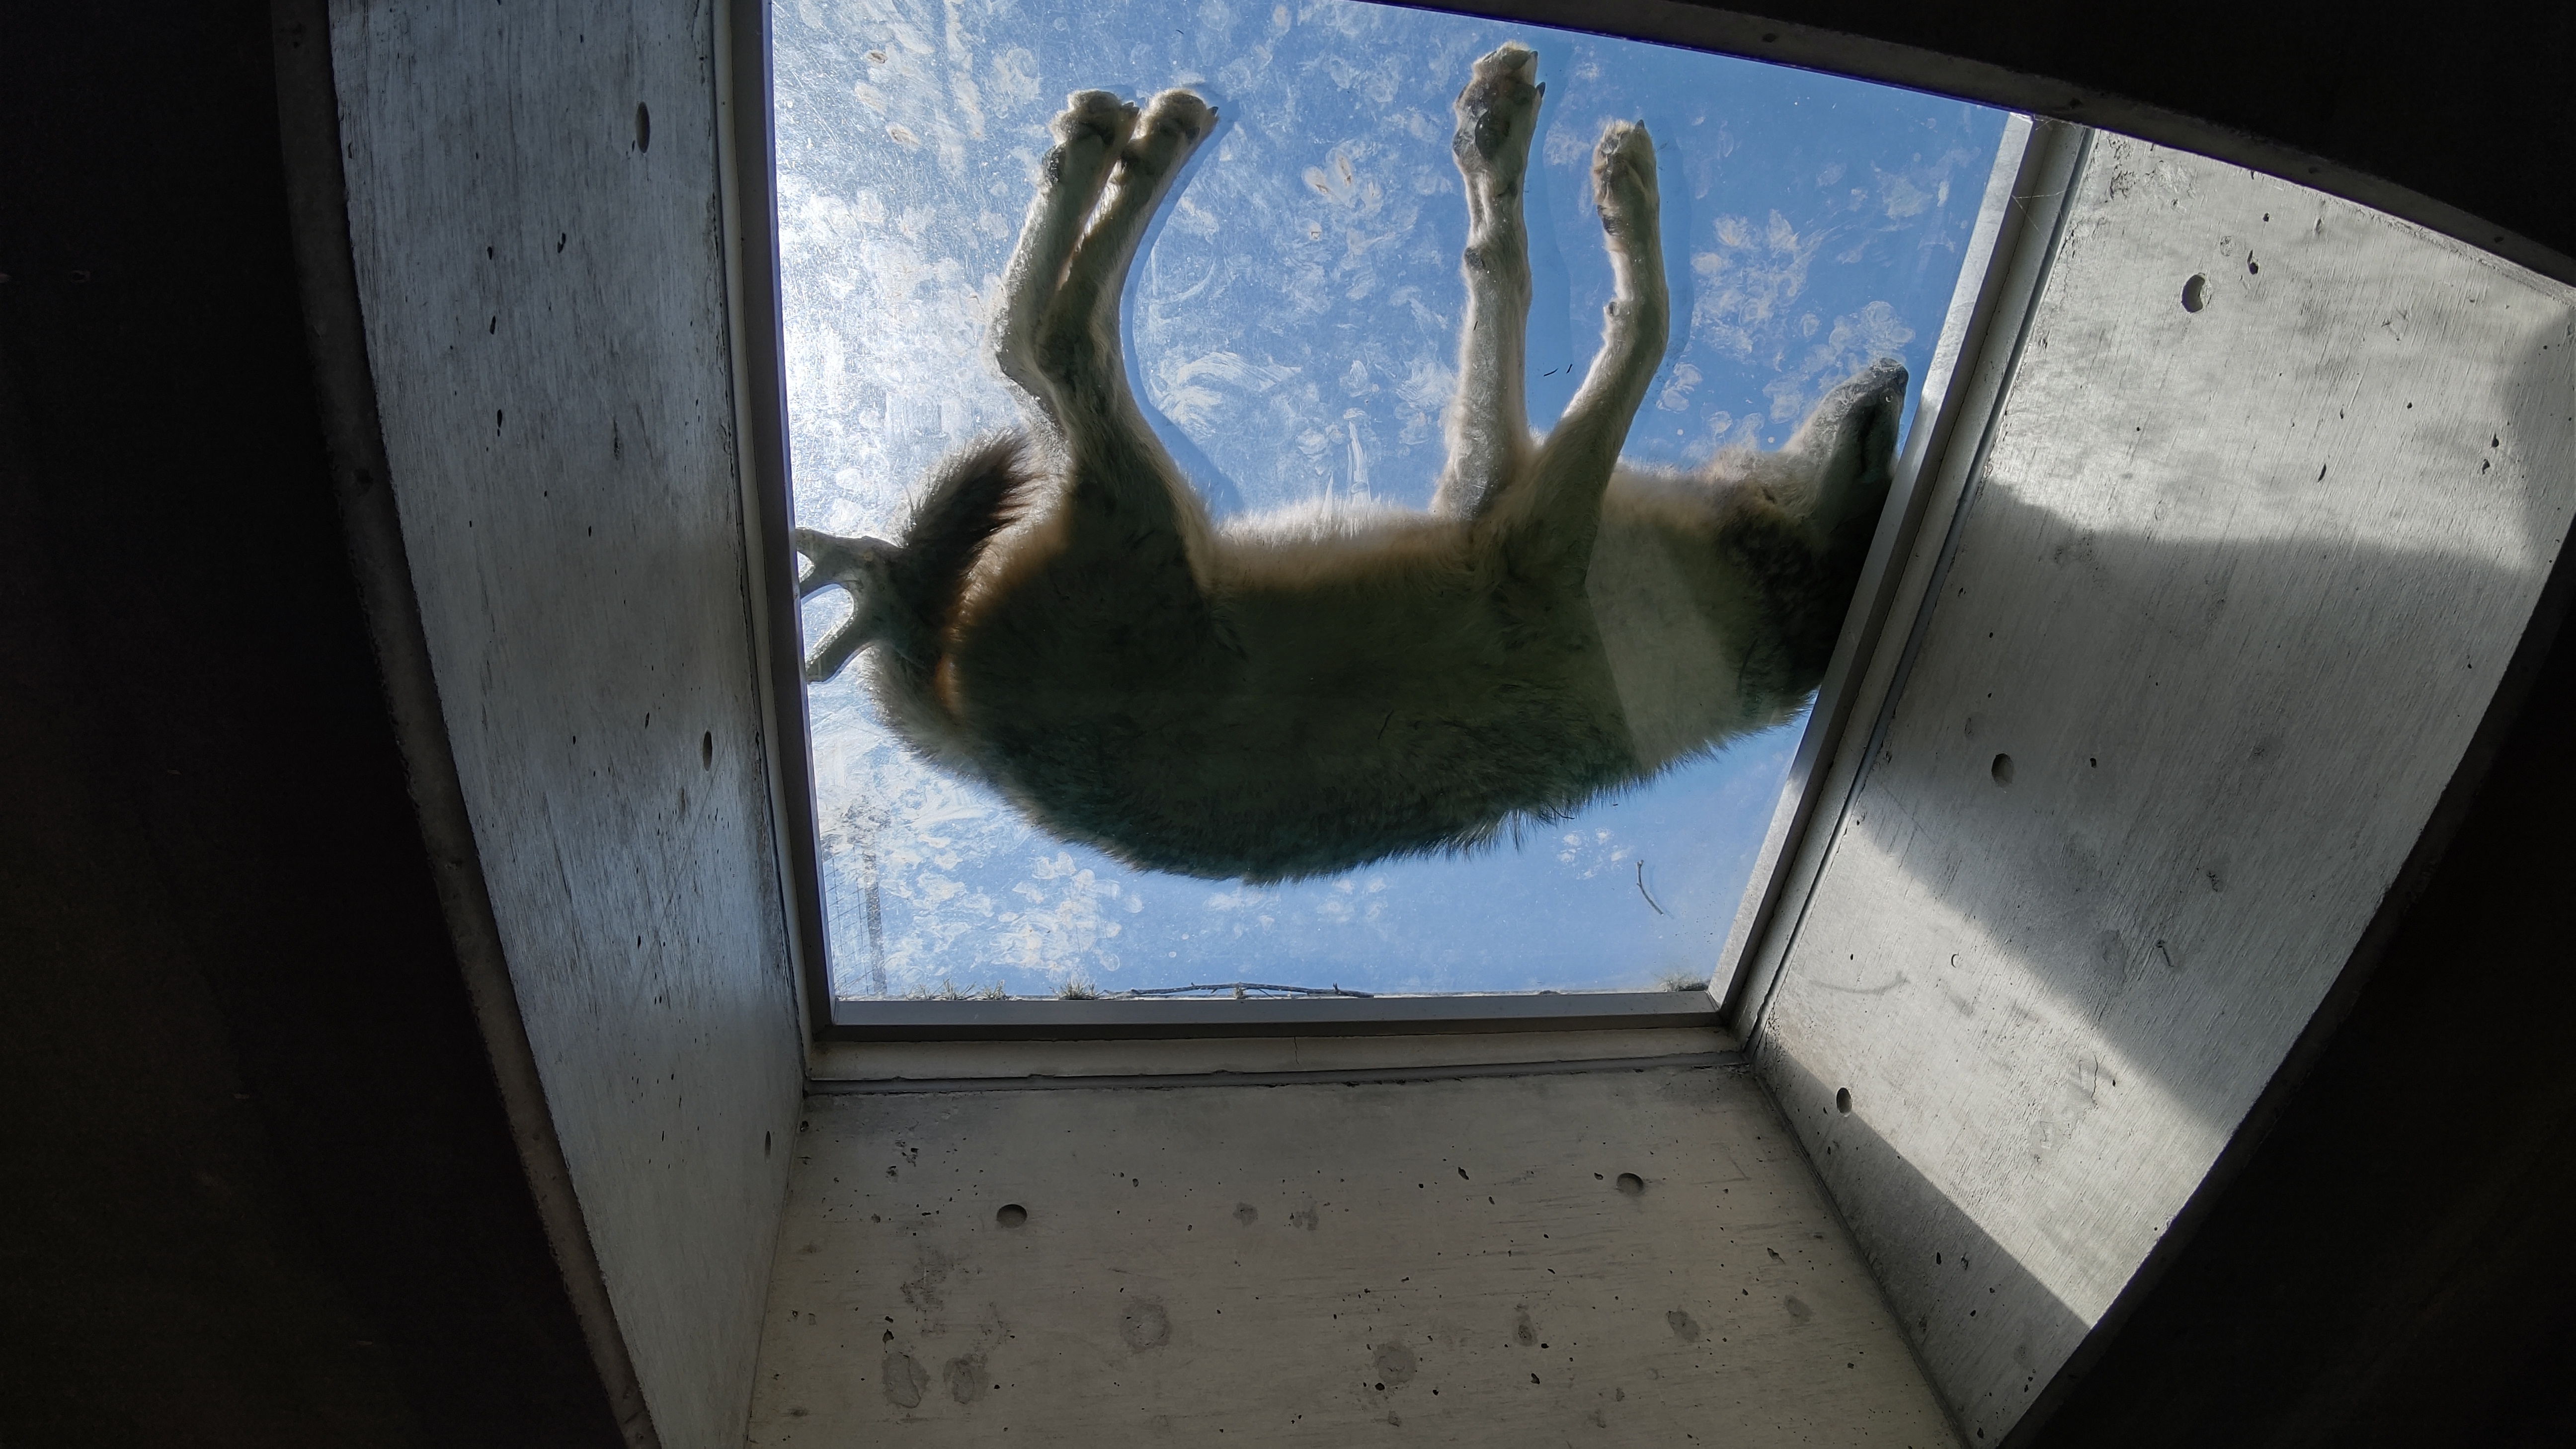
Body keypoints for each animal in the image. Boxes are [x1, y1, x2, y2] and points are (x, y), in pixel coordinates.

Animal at [793, 42, 1906, 882]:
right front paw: (1500, 141)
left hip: (1143, 500)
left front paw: (1619, 196)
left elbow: (1644, 321)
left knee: (1046, 338)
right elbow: (1506, 268)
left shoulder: (1524, 531)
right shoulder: (1491, 489)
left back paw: (1133, 144)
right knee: (1022, 348)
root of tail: (981, 760)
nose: (1900, 377)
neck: (1746, 579)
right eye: (1889, 446)